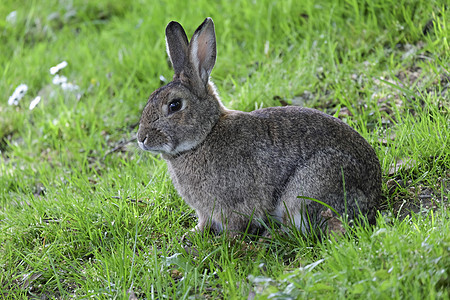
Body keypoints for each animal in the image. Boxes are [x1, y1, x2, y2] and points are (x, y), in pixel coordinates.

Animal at [136, 17, 380, 236]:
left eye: (174, 105)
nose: (141, 138)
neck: (205, 136)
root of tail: (373, 196)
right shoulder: (206, 211)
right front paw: (192, 234)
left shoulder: (234, 205)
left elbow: (236, 225)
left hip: (310, 187)